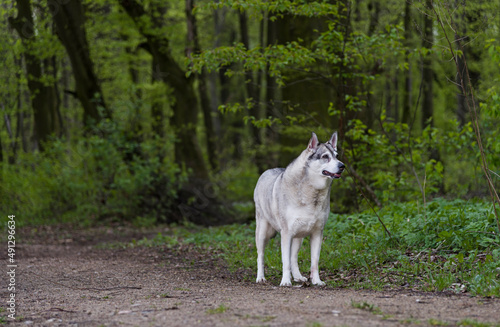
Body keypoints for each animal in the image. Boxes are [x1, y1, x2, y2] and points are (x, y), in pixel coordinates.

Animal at [254, 133, 344, 288]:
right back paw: (261, 277)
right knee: (261, 256)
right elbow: (285, 261)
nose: (342, 166)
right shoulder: (286, 234)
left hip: (299, 237)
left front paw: (316, 281)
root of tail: (267, 171)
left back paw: (298, 277)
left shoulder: (317, 233)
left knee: (293, 257)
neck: (312, 193)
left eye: (337, 156)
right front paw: (285, 281)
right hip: (262, 232)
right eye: (325, 156)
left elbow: (314, 262)